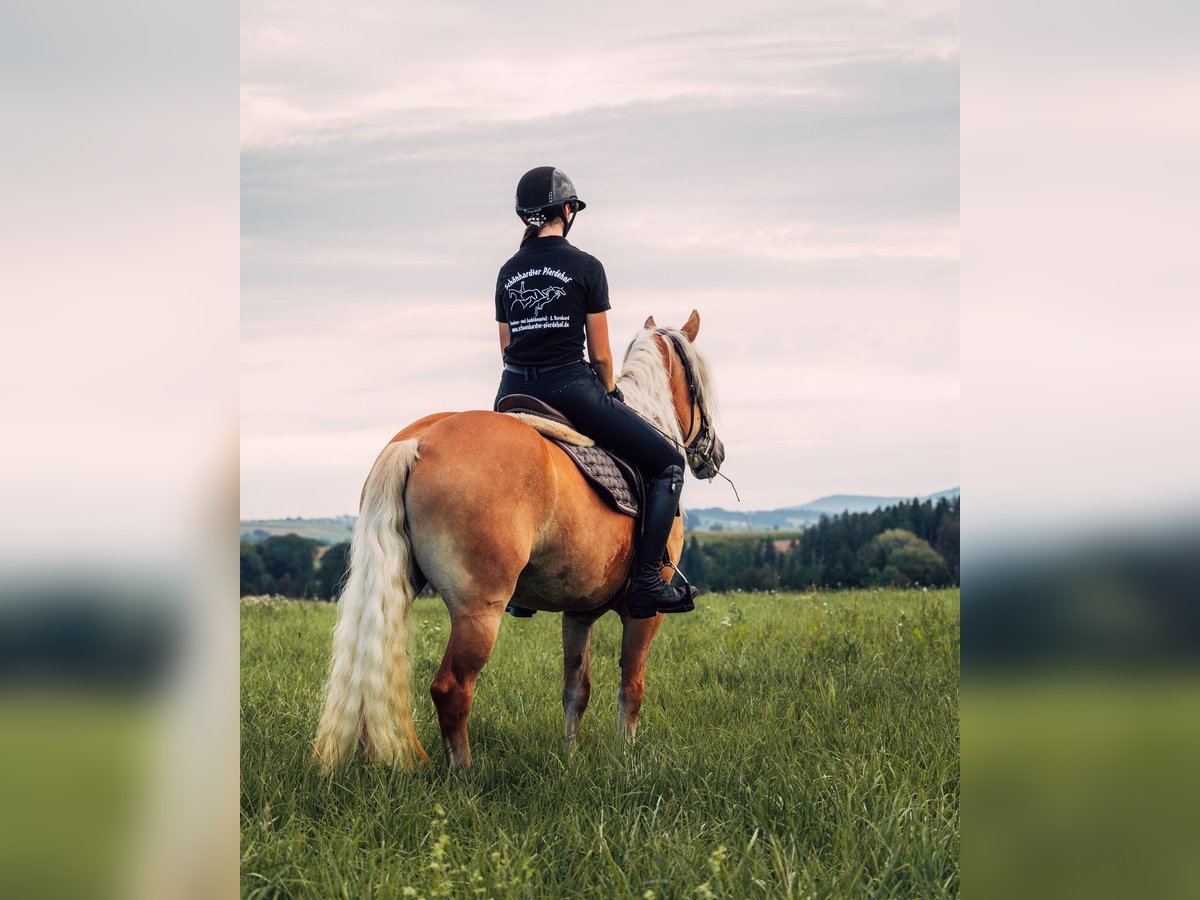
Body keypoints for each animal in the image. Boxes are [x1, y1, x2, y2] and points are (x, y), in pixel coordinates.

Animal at [312, 312, 720, 777]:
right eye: (702, 382)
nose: (715, 455)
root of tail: (419, 441)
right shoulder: (644, 612)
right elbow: (631, 686)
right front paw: (627, 758)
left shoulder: (578, 613)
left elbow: (576, 689)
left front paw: (570, 759)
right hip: (479, 609)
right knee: (452, 688)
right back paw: (464, 775)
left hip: (397, 584)